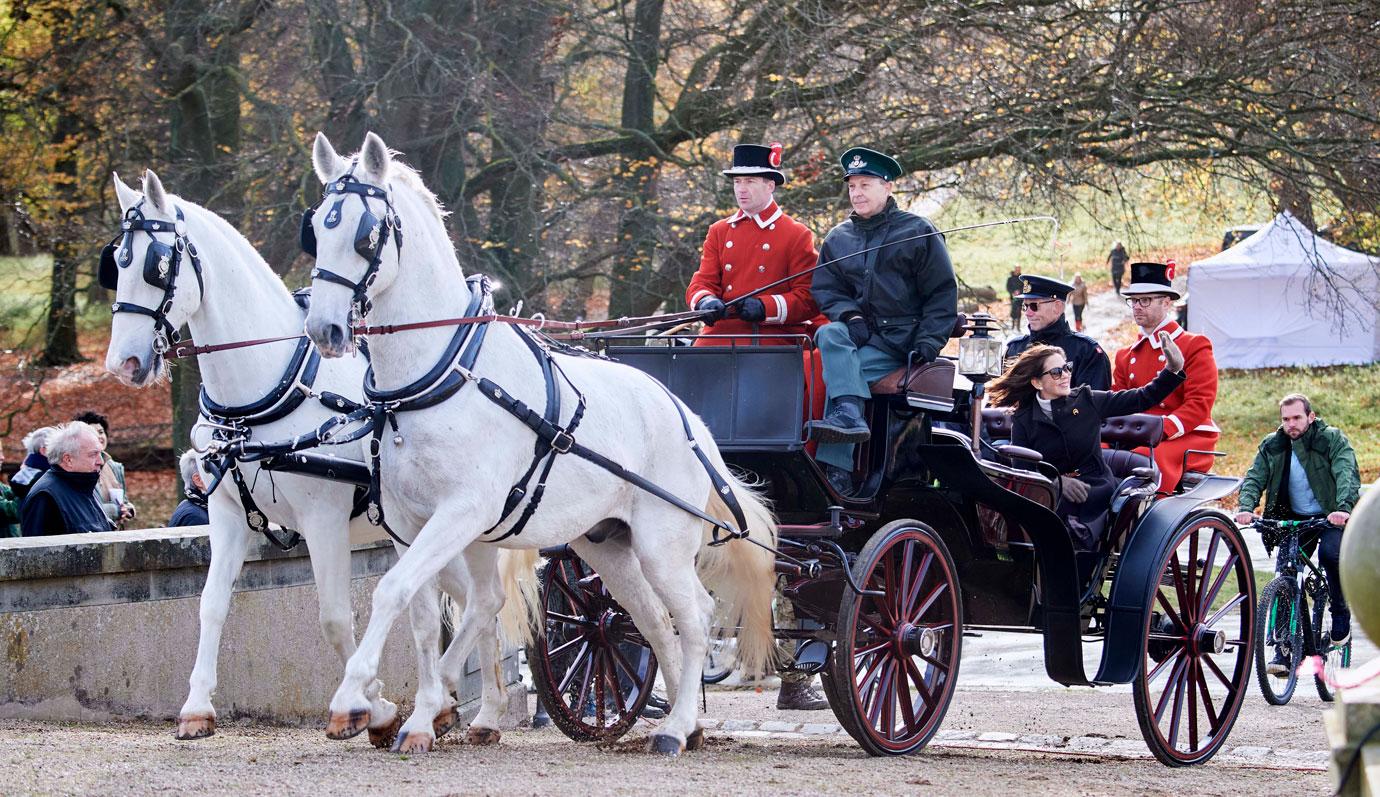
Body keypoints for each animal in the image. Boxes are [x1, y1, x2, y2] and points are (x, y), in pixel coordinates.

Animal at [100, 170, 516, 750]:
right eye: (116, 262)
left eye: (157, 265)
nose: (123, 363)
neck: (263, 393)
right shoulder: (226, 515)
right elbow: (211, 604)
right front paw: (197, 708)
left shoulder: (323, 520)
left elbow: (335, 618)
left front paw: (370, 707)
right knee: (484, 605)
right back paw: (476, 711)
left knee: (485, 603)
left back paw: (465, 708)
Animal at [300, 128, 778, 750]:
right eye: (316, 229)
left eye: (366, 234)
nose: (324, 329)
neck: (441, 373)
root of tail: (686, 416)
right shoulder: (408, 524)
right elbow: (422, 615)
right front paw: (424, 715)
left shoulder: (464, 511)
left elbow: (393, 593)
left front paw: (356, 699)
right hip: (609, 546)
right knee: (651, 620)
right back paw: (685, 720)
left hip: (662, 540)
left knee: (693, 615)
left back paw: (676, 727)